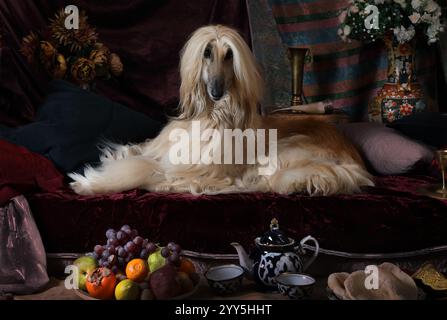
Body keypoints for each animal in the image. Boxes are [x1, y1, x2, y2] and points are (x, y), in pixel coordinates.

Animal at [68, 25, 372, 195]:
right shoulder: (164, 148)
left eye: (229, 56)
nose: (216, 92)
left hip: (286, 152)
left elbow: (145, 169)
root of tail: (355, 162)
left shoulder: (204, 168)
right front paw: (114, 156)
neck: (211, 116)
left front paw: (89, 182)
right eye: (206, 53)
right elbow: (137, 151)